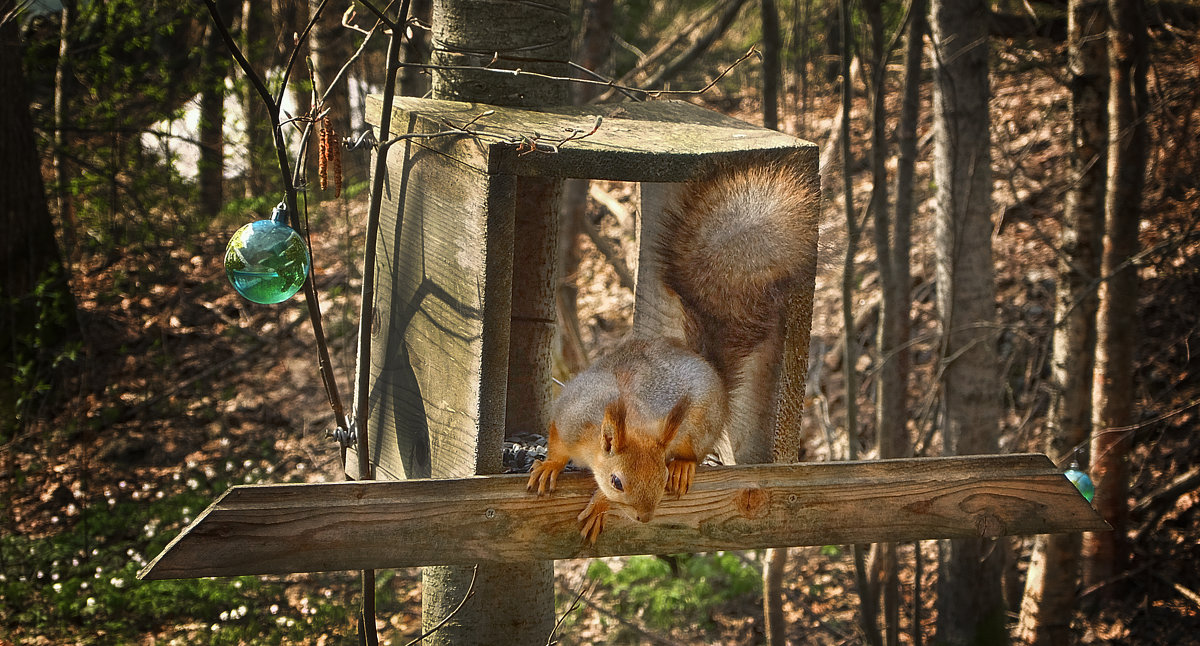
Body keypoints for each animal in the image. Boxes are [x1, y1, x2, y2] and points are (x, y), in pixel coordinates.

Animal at [525, 157, 816, 542]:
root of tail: (704, 363)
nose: (645, 517)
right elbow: (558, 445)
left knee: (695, 449)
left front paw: (601, 506)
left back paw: (685, 466)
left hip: (701, 422)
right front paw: (549, 467)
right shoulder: (571, 416)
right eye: (617, 481)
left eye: (659, 478)